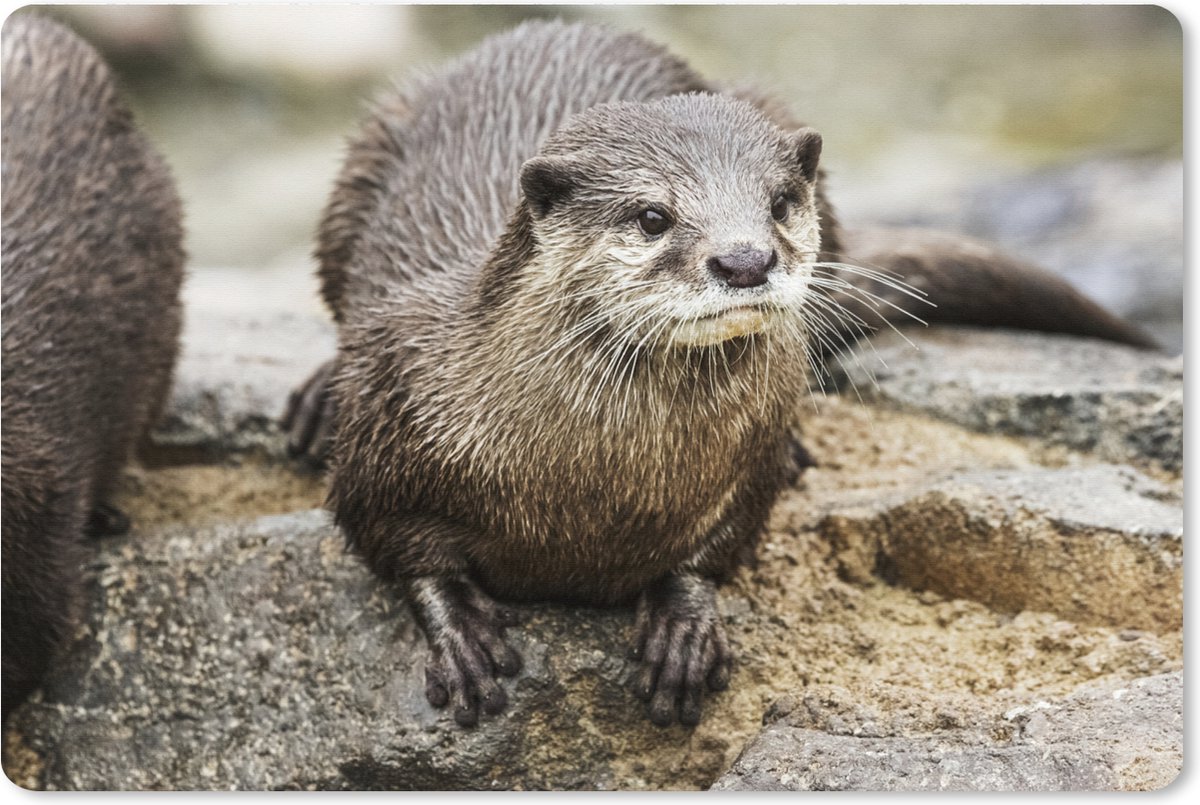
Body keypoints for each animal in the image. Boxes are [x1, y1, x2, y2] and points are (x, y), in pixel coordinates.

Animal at [284, 20, 1156, 728]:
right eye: (652, 215)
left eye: (779, 202)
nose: (744, 259)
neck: (592, 488)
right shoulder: (393, 411)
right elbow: (388, 535)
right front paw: (461, 630)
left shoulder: (750, 454)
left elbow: (724, 539)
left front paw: (682, 622)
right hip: (362, 158)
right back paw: (316, 398)